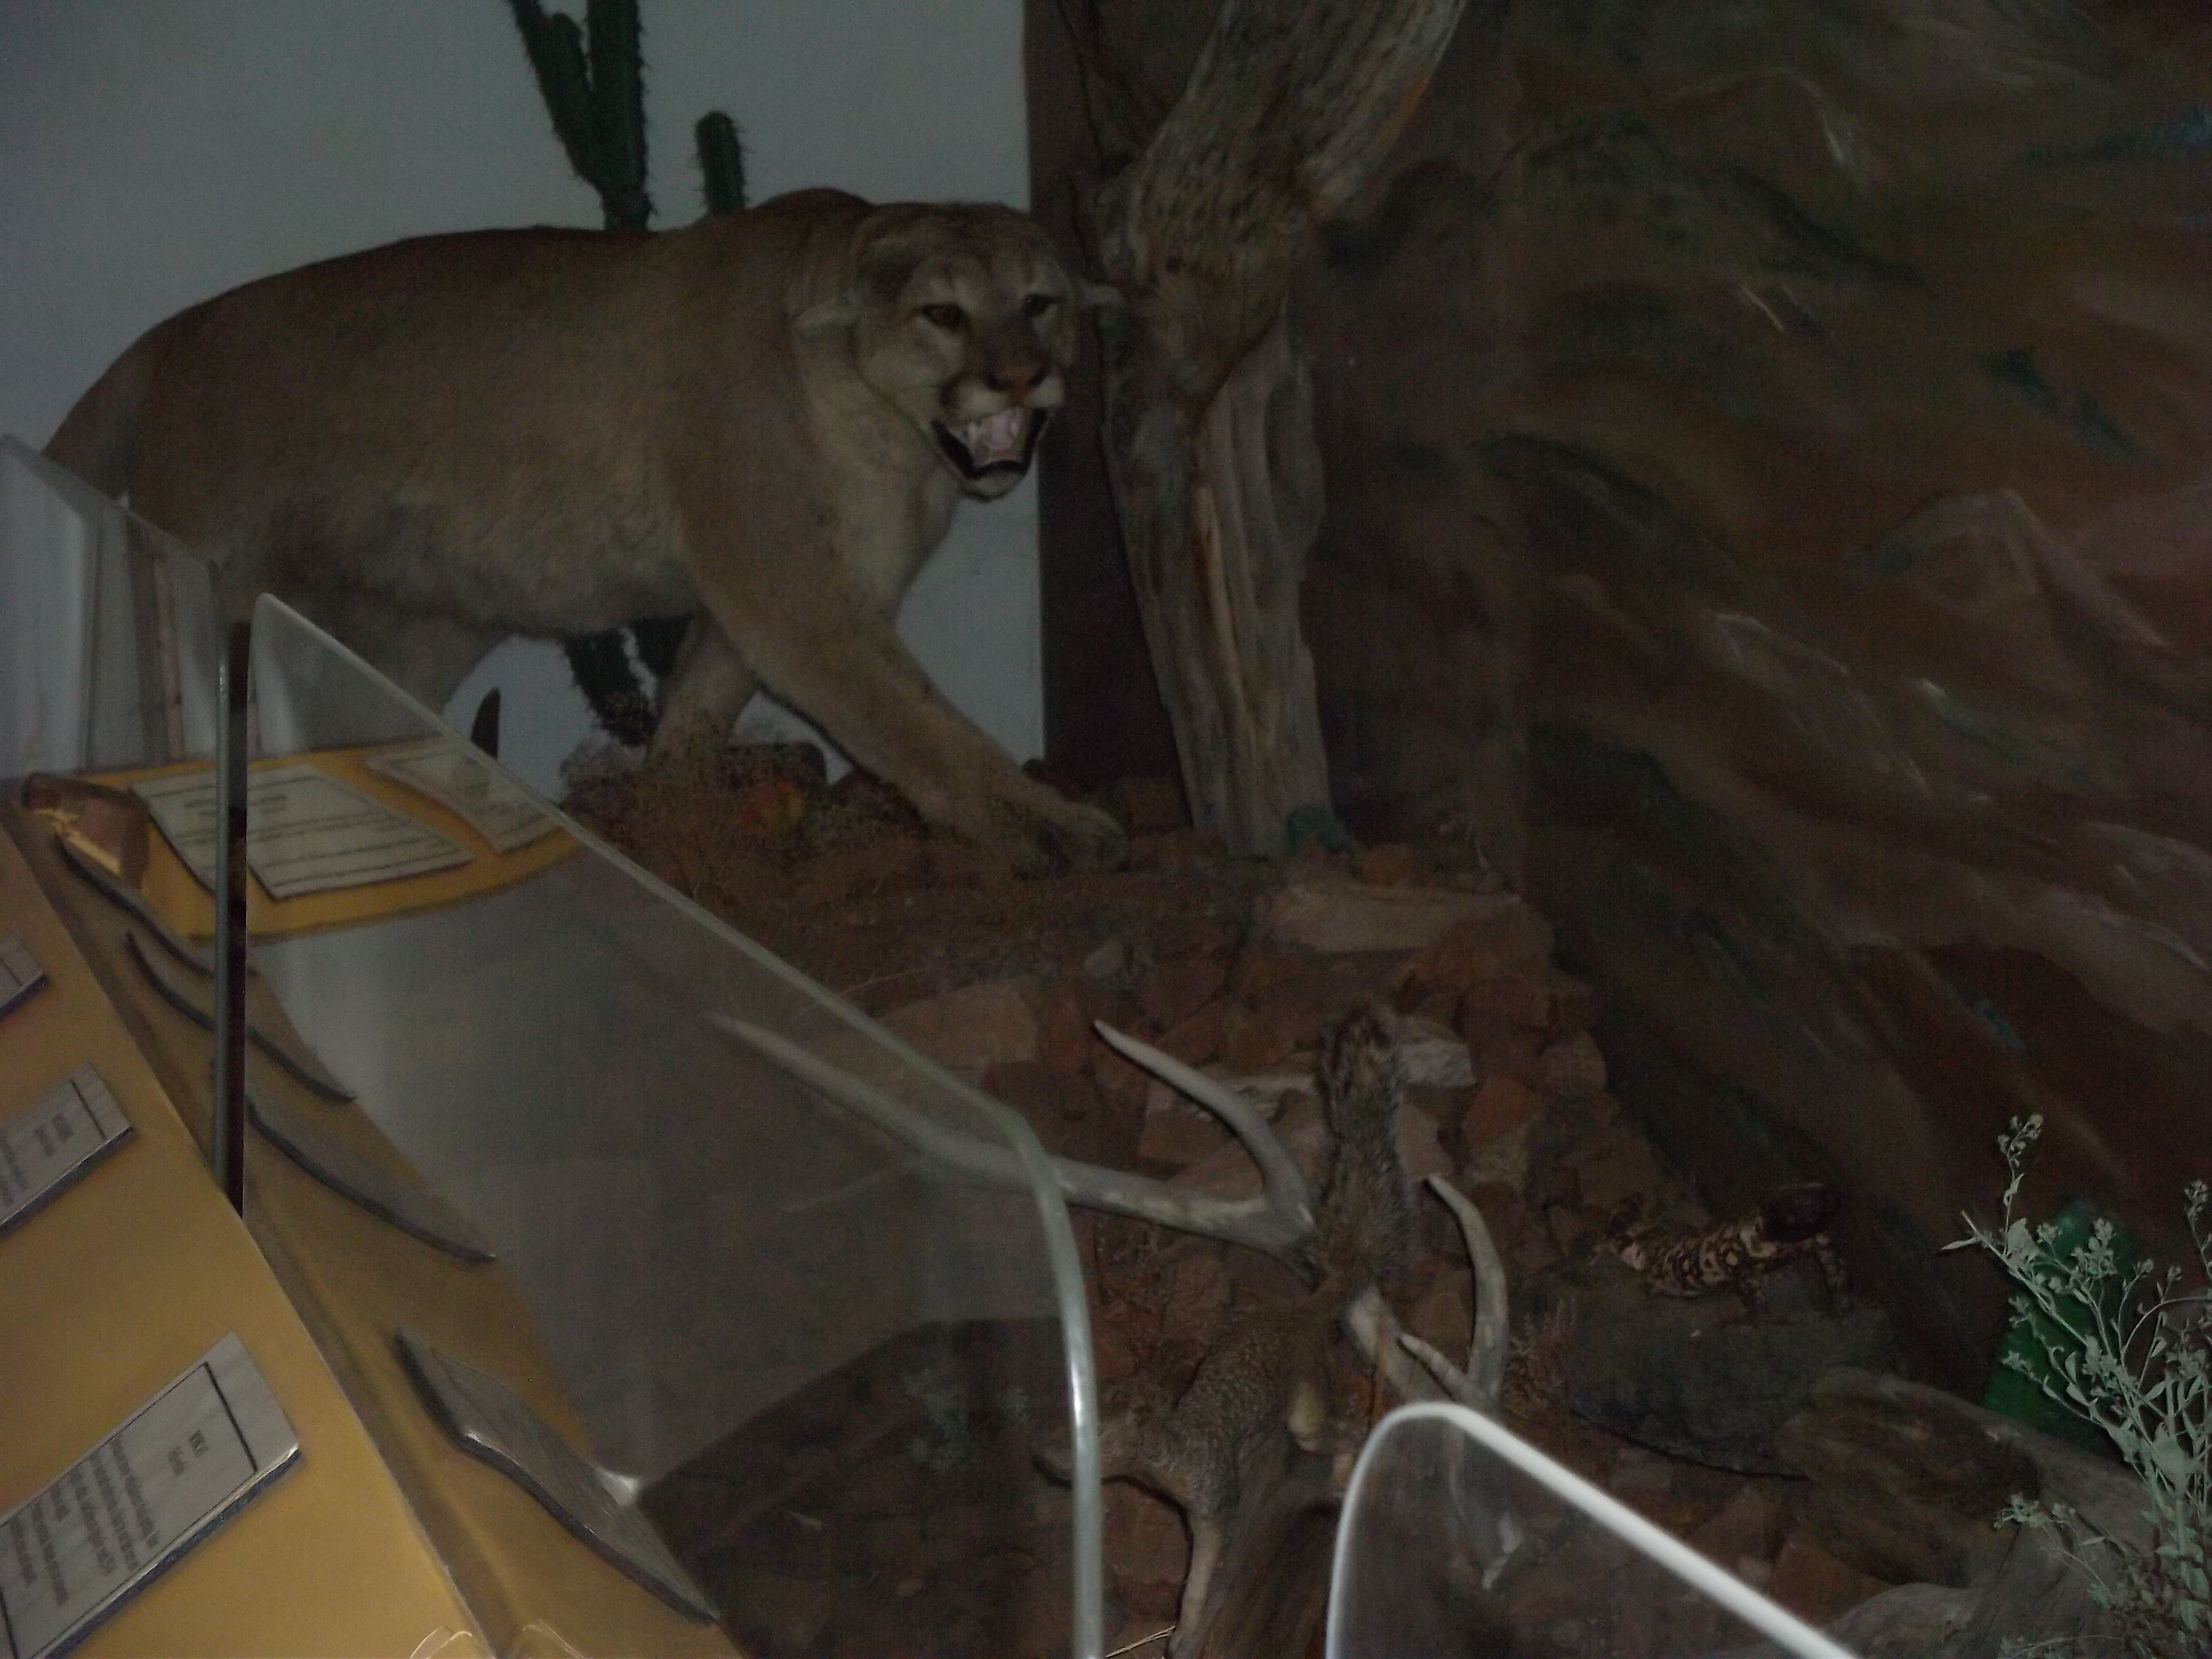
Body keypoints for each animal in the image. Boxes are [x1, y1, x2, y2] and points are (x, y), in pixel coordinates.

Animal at [45, 188, 1126, 871]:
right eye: (943, 313)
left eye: (1040, 302)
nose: (1023, 376)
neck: (897, 443)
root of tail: (169, 334)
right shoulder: (797, 602)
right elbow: (921, 724)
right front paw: (1054, 828)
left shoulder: (755, 613)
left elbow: (693, 715)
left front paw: (666, 829)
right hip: (215, 602)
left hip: (409, 634)